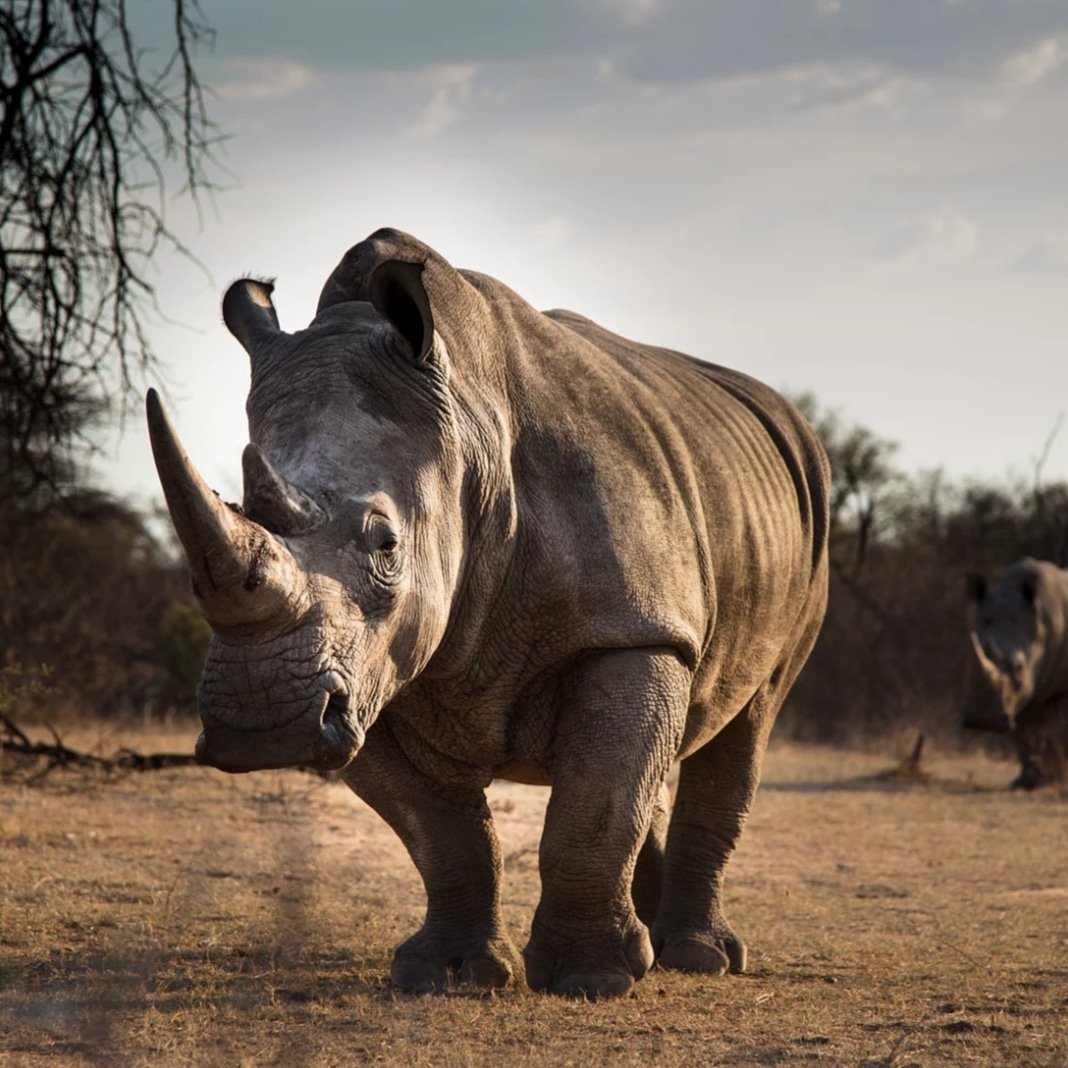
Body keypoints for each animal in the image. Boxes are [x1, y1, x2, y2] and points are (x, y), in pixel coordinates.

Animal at [147, 228, 830, 999]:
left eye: (386, 545)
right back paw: (659, 941)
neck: (469, 438)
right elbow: (444, 833)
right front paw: (446, 973)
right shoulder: (367, 674)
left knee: (750, 715)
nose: (261, 726)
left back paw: (697, 956)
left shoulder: (630, 630)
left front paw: (591, 979)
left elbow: (594, 808)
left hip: (805, 525)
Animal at [963, 558, 1068, 789]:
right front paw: (1027, 781)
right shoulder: (1014, 698)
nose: (981, 719)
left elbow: (1060, 728)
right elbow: (1022, 735)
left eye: (1019, 666)